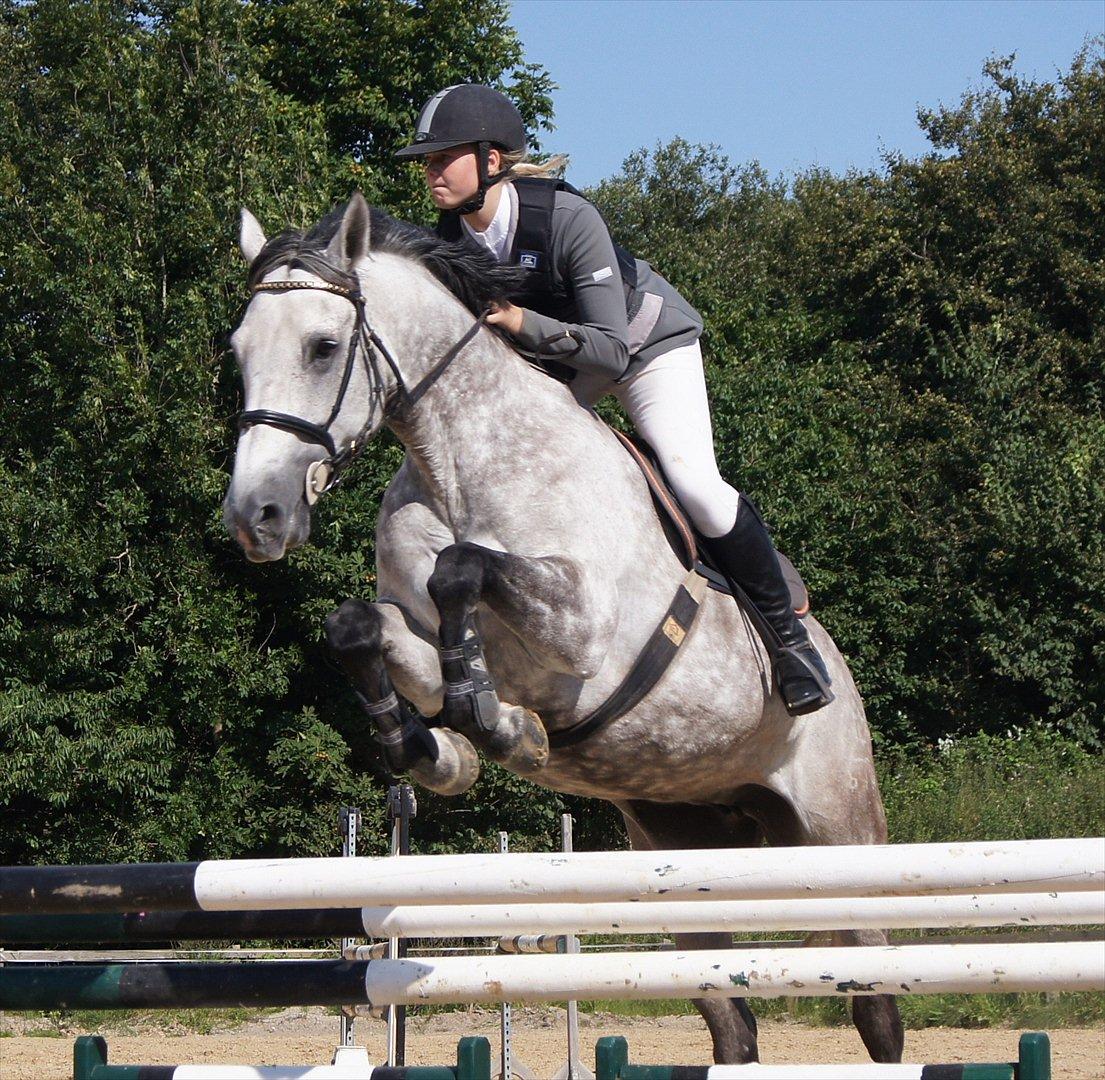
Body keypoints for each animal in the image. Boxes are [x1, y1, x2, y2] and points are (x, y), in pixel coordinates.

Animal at [219, 193, 901, 1061]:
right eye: (239, 351)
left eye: (322, 346)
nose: (256, 517)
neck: (457, 467)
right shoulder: (414, 627)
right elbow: (361, 629)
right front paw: (438, 748)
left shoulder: (582, 627)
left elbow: (462, 571)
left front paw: (491, 723)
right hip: (676, 846)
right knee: (730, 1020)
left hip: (838, 830)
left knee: (876, 1007)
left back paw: (799, 669)